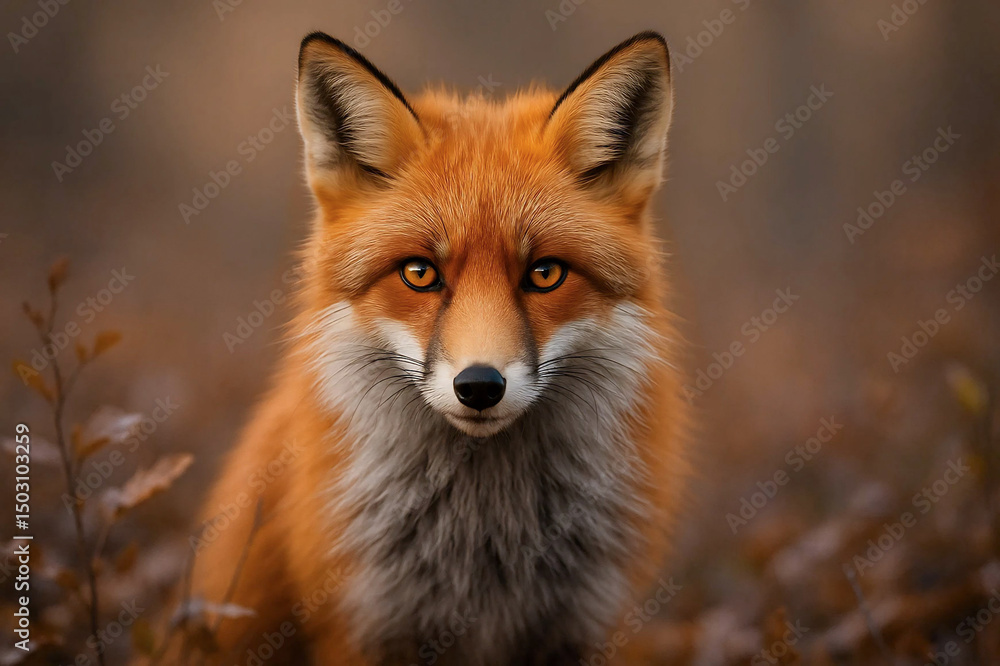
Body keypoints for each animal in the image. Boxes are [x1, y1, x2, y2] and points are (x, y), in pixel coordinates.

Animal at [188, 30, 688, 666]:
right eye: (420, 273)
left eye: (545, 273)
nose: (479, 386)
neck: (483, 545)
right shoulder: (360, 622)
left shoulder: (583, 624)